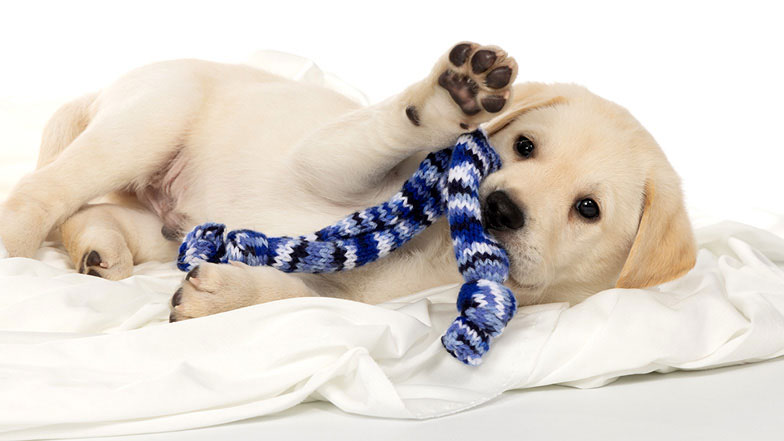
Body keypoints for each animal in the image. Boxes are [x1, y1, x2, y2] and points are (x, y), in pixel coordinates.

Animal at [0, 42, 696, 320]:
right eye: (524, 146)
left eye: (588, 209)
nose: (499, 209)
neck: (435, 248)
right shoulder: (324, 157)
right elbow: (385, 128)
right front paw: (451, 95)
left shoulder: (364, 302)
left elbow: (298, 294)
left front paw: (222, 294)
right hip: (149, 121)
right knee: (45, 190)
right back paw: (16, 245)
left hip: (165, 223)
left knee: (83, 214)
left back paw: (100, 250)